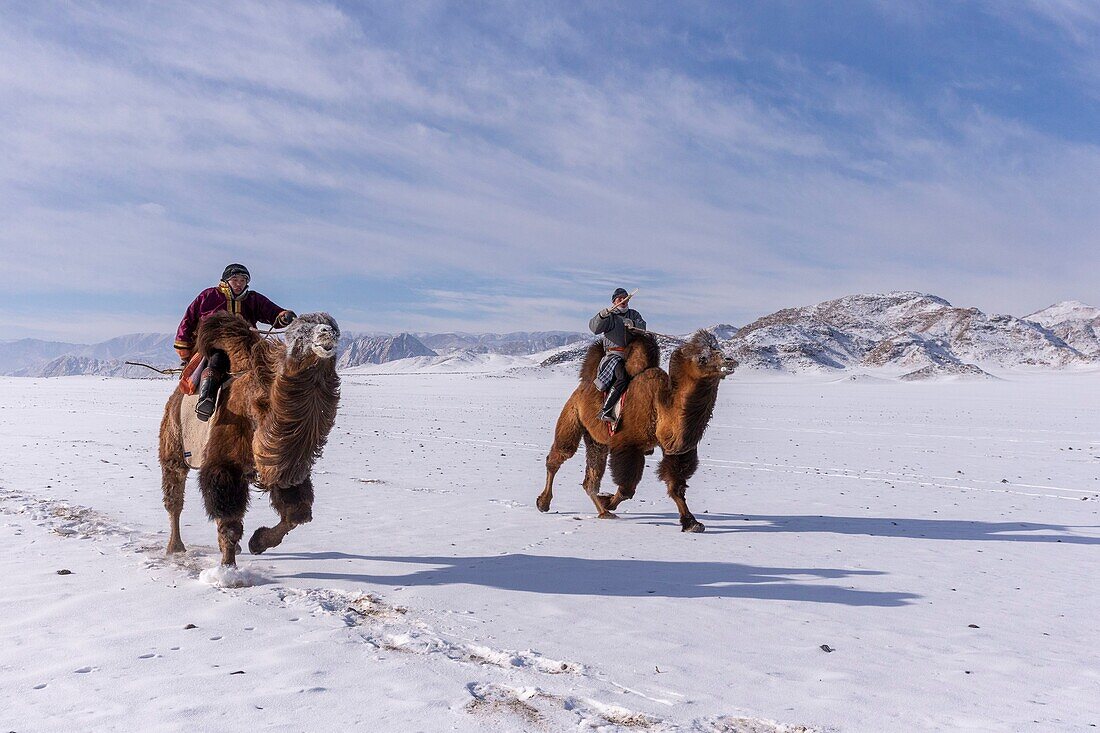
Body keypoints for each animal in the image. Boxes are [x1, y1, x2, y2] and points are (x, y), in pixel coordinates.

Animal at [158, 310, 338, 563]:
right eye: (300, 333)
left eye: (335, 328)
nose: (327, 332)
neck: (257, 408)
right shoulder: (224, 464)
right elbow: (229, 521)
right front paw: (228, 567)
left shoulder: (284, 466)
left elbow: (297, 513)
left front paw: (258, 542)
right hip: (173, 446)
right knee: (174, 497)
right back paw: (175, 547)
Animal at [536, 330, 734, 530]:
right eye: (703, 357)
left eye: (718, 347)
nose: (729, 360)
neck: (661, 406)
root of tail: (582, 387)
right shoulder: (628, 444)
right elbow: (627, 488)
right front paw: (608, 500)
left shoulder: (675, 449)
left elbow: (675, 485)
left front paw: (691, 522)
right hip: (571, 416)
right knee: (559, 456)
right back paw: (544, 503)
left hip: (596, 439)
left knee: (590, 478)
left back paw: (604, 512)